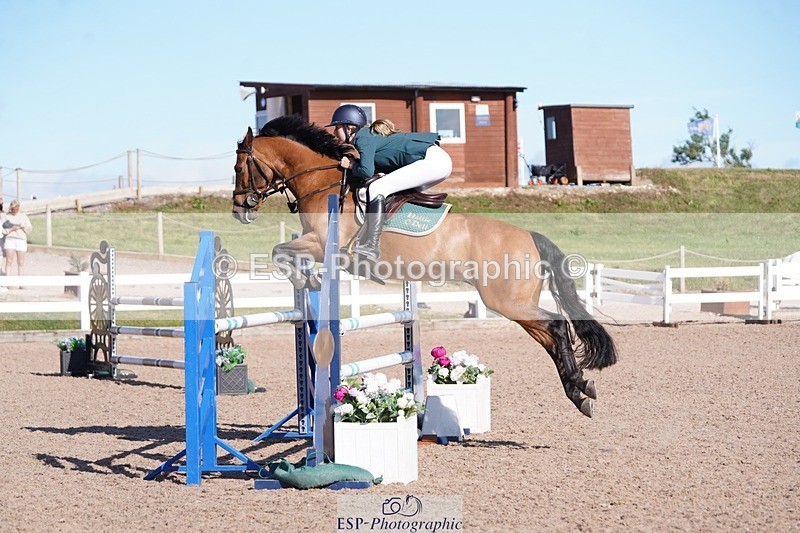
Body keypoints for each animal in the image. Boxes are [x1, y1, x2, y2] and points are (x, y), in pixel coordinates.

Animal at [231, 115, 617, 417]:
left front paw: (306, 281)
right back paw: (581, 391)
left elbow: (279, 250)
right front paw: (306, 281)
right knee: (553, 333)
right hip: (515, 303)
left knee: (556, 326)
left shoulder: (324, 245)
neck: (322, 183)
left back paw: (580, 389)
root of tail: (530, 237)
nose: (239, 210)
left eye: (238, 168)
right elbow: (282, 251)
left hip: (507, 301)